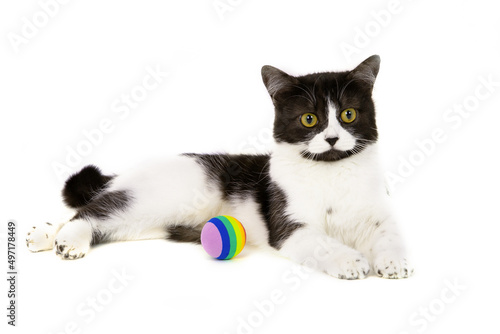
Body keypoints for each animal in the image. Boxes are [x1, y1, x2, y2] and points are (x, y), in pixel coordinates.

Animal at [26, 55, 414, 280]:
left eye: (348, 114)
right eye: (309, 119)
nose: (332, 138)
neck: (331, 172)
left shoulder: (380, 213)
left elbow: (392, 233)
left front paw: (395, 261)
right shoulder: (289, 226)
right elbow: (323, 243)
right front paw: (352, 262)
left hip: (148, 223)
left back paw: (44, 235)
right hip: (156, 198)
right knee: (90, 212)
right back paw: (64, 241)